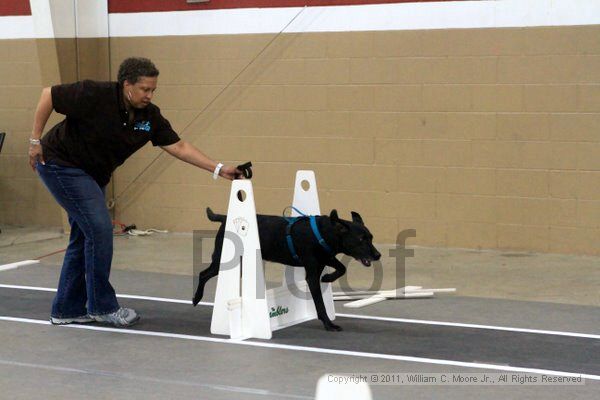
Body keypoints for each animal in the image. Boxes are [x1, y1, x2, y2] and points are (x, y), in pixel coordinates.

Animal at [193, 206, 380, 332]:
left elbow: (342, 268)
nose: (378, 255)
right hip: (222, 260)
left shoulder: (325, 258)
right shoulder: (312, 273)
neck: (324, 233)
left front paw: (328, 278)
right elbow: (320, 304)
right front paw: (329, 324)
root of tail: (224, 218)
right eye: (361, 239)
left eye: (371, 237)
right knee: (203, 274)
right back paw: (196, 298)